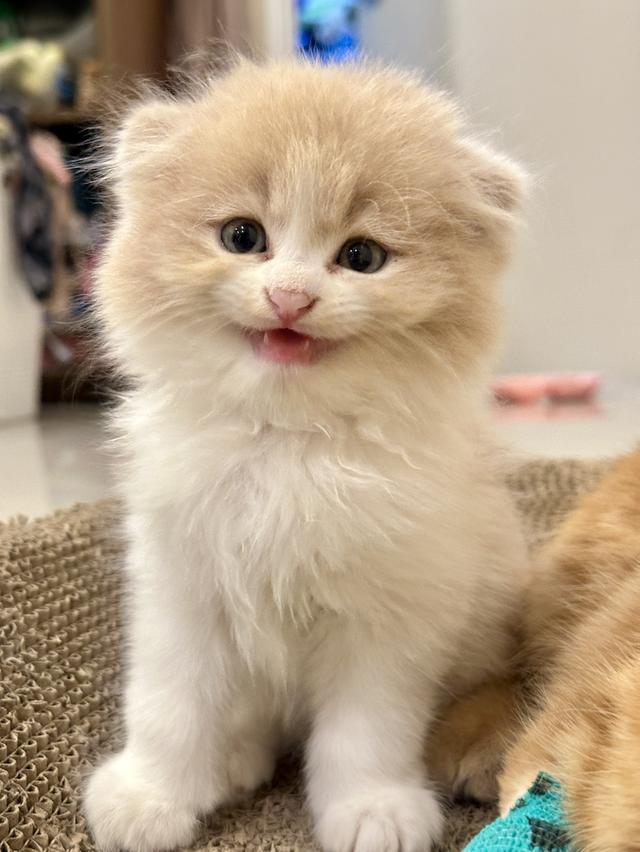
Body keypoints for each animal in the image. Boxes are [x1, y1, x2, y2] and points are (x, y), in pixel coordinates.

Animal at [82, 55, 528, 852]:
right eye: (241, 236)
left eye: (362, 256)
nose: (290, 297)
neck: (288, 440)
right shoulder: (181, 584)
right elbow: (168, 702)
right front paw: (151, 794)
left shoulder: (392, 611)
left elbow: (366, 729)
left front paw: (372, 809)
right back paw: (233, 757)